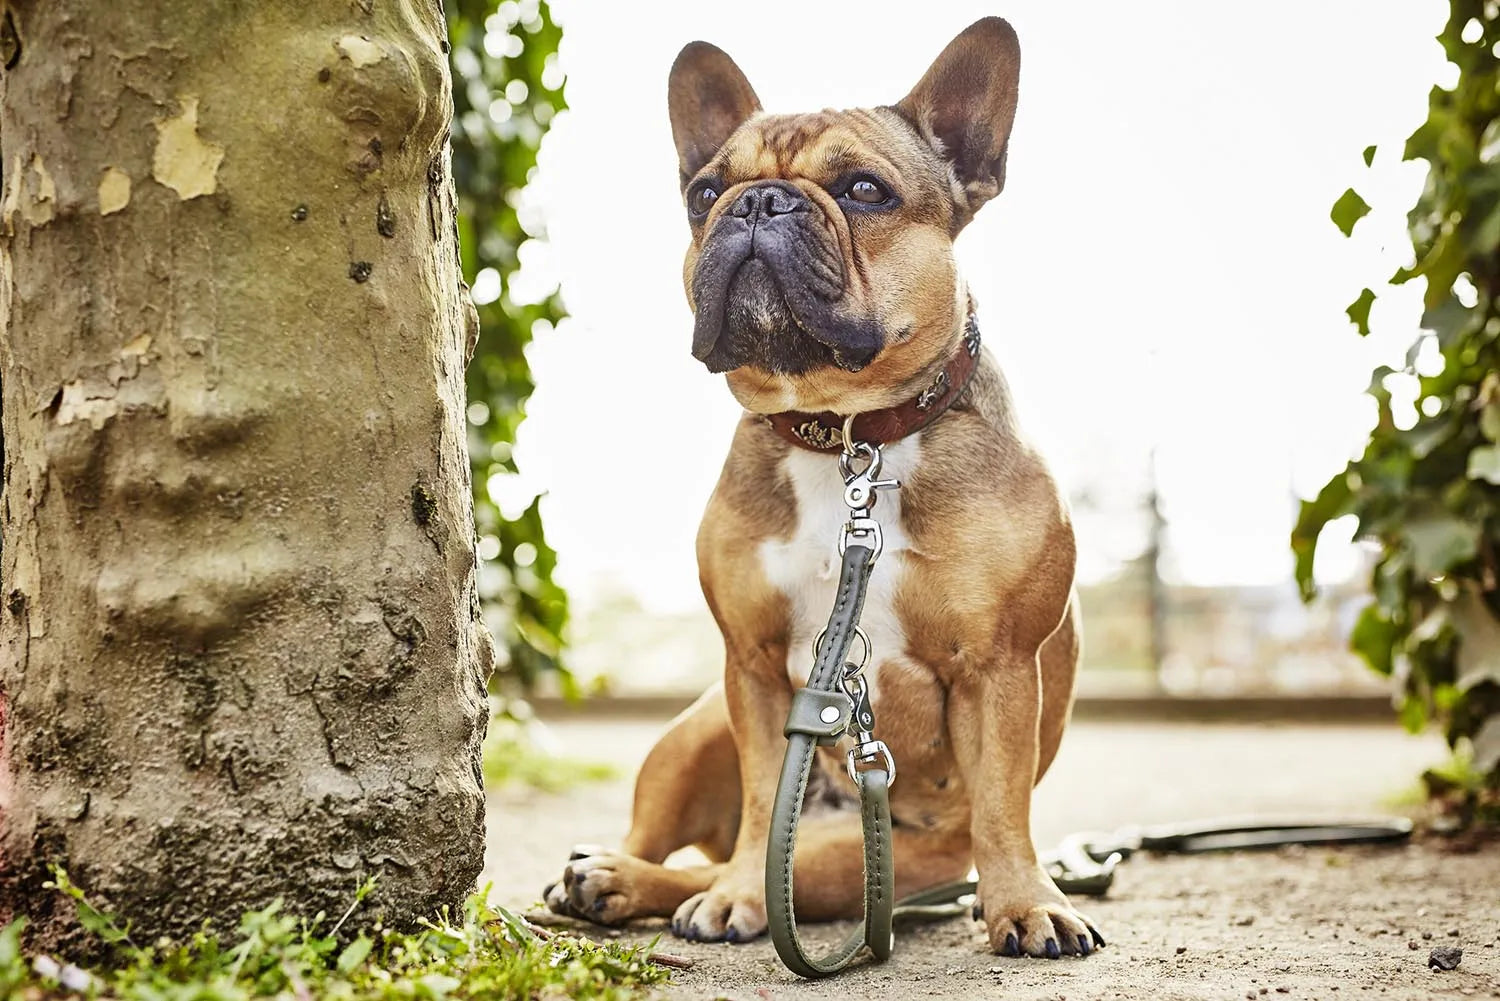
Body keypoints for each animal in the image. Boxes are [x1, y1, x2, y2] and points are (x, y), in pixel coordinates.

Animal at [546, 13, 1098, 954]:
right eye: (704, 193)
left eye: (865, 189)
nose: (758, 202)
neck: (846, 435)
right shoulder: (754, 668)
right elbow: (763, 794)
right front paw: (739, 894)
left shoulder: (997, 668)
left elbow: (1001, 803)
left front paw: (1028, 903)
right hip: (689, 737)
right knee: (678, 839)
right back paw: (618, 878)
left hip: (874, 859)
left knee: (798, 871)